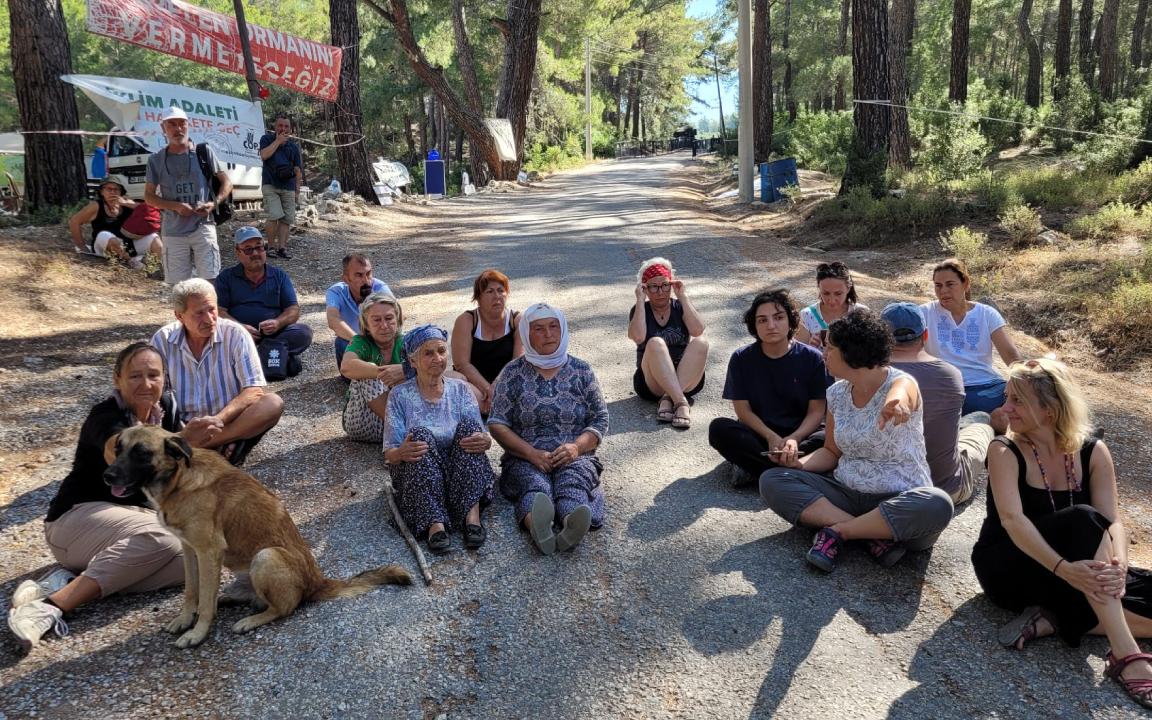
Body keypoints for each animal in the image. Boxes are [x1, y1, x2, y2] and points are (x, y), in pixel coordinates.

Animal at [101, 423, 412, 649]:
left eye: (141, 452)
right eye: (117, 448)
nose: (107, 475)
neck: (180, 479)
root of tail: (317, 580)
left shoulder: (208, 551)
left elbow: (204, 605)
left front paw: (197, 633)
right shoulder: (190, 549)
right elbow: (192, 591)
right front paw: (185, 618)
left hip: (266, 557)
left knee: (284, 608)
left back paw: (250, 620)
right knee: (243, 596)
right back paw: (228, 599)